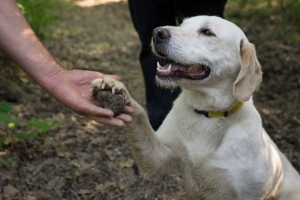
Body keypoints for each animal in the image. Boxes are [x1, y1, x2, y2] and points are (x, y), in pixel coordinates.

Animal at [91, 16, 300, 199]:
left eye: (207, 32)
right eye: (181, 24)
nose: (157, 33)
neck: (208, 114)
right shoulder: (157, 157)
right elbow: (139, 114)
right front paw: (115, 88)